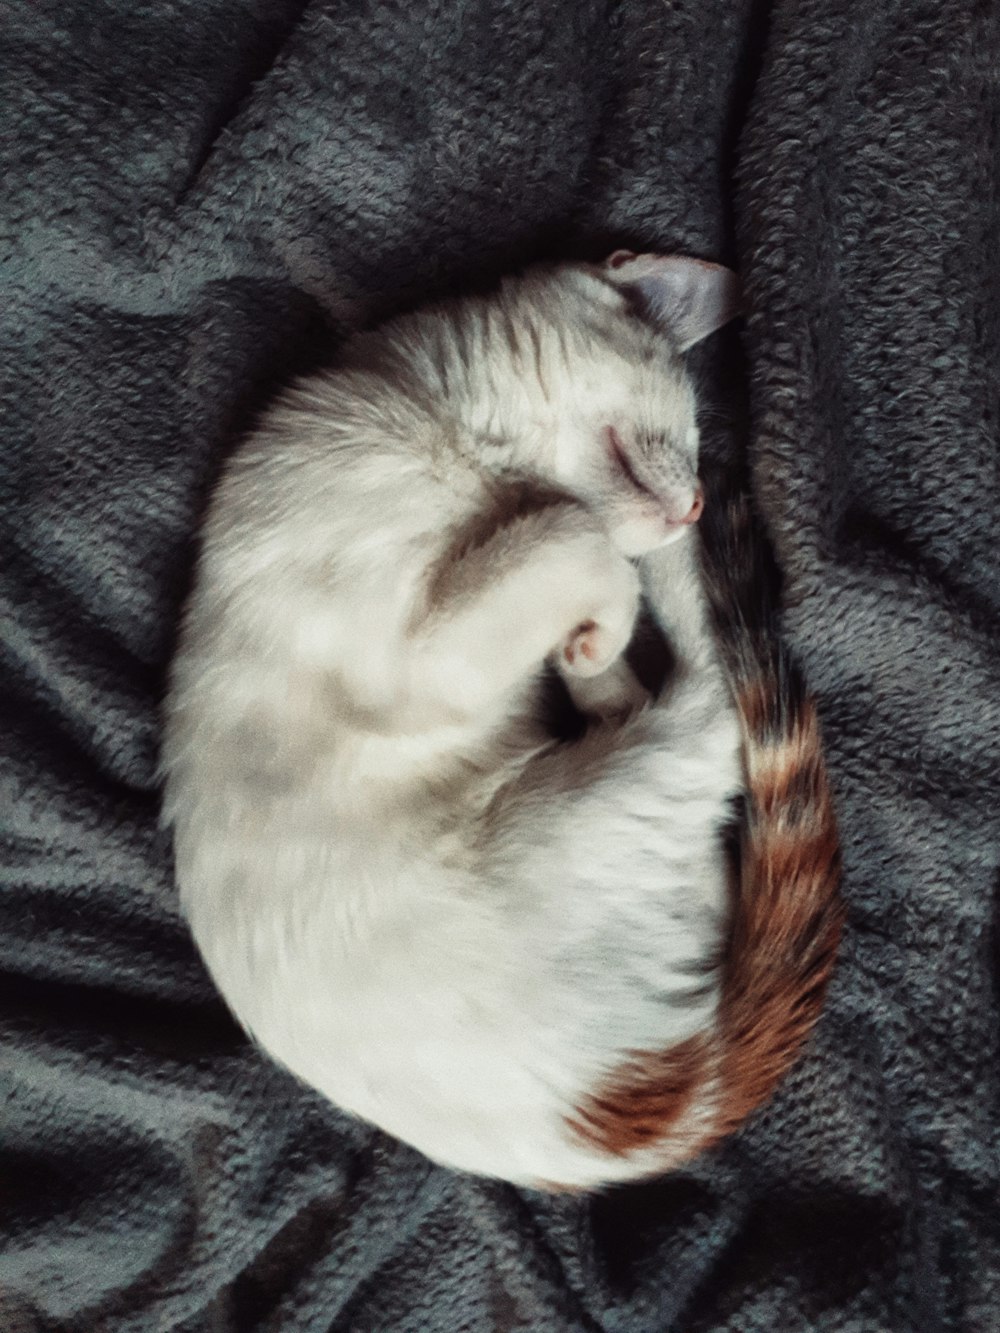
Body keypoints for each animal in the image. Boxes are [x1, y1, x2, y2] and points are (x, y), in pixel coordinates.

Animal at [158, 250, 848, 1189]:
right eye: (688, 427)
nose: (699, 502)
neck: (464, 446)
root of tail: (671, 1099)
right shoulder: (414, 654)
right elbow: (575, 529)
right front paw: (603, 629)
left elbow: (574, 548)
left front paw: (594, 662)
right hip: (583, 801)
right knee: (713, 699)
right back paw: (671, 581)